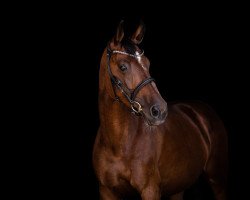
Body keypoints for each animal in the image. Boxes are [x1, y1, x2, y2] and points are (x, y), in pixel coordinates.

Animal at [92, 21, 229, 199]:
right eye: (123, 67)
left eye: (148, 63)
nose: (160, 110)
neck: (118, 145)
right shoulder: (106, 191)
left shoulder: (150, 190)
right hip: (178, 187)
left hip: (217, 180)